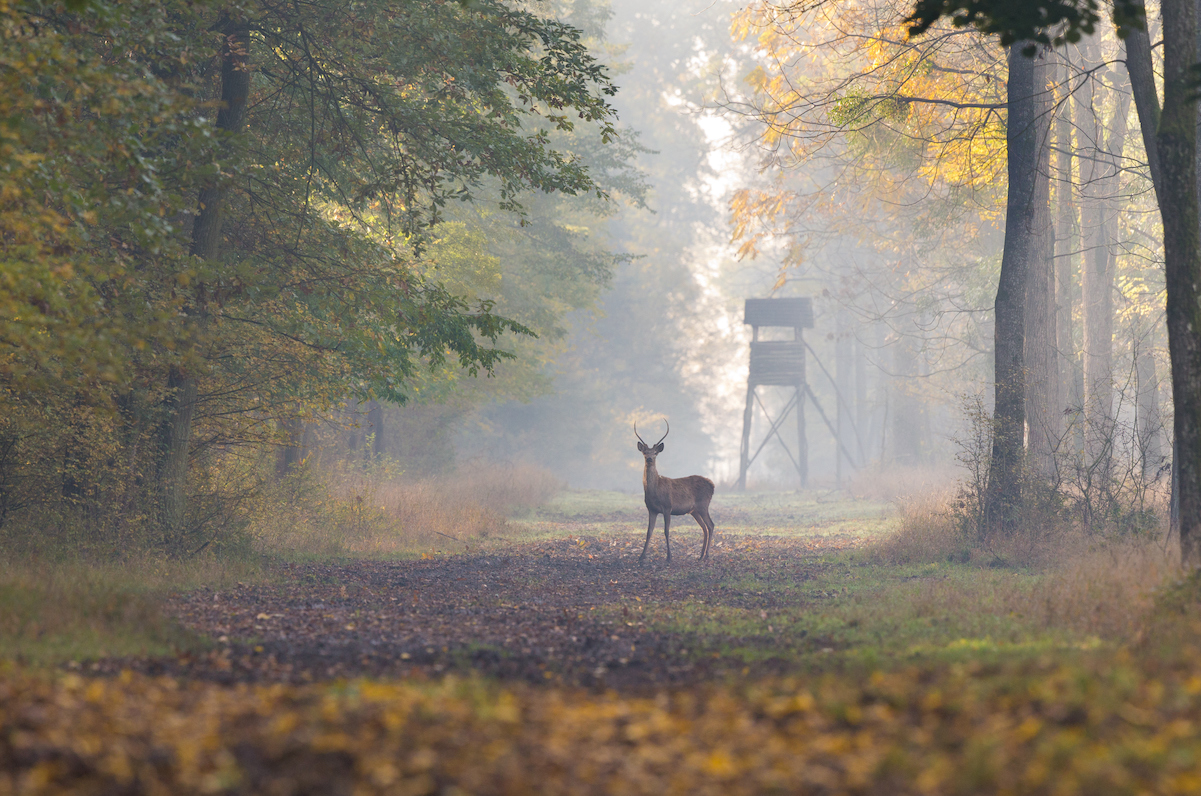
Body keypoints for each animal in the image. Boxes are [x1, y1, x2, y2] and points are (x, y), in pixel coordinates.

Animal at [638, 420, 710, 564]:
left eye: (655, 453)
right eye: (644, 453)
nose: (649, 458)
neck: (655, 491)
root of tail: (713, 485)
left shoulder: (667, 507)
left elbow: (666, 531)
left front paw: (669, 557)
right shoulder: (651, 509)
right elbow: (649, 532)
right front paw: (641, 557)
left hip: (703, 504)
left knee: (711, 525)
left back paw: (707, 555)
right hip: (694, 510)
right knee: (704, 527)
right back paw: (701, 555)